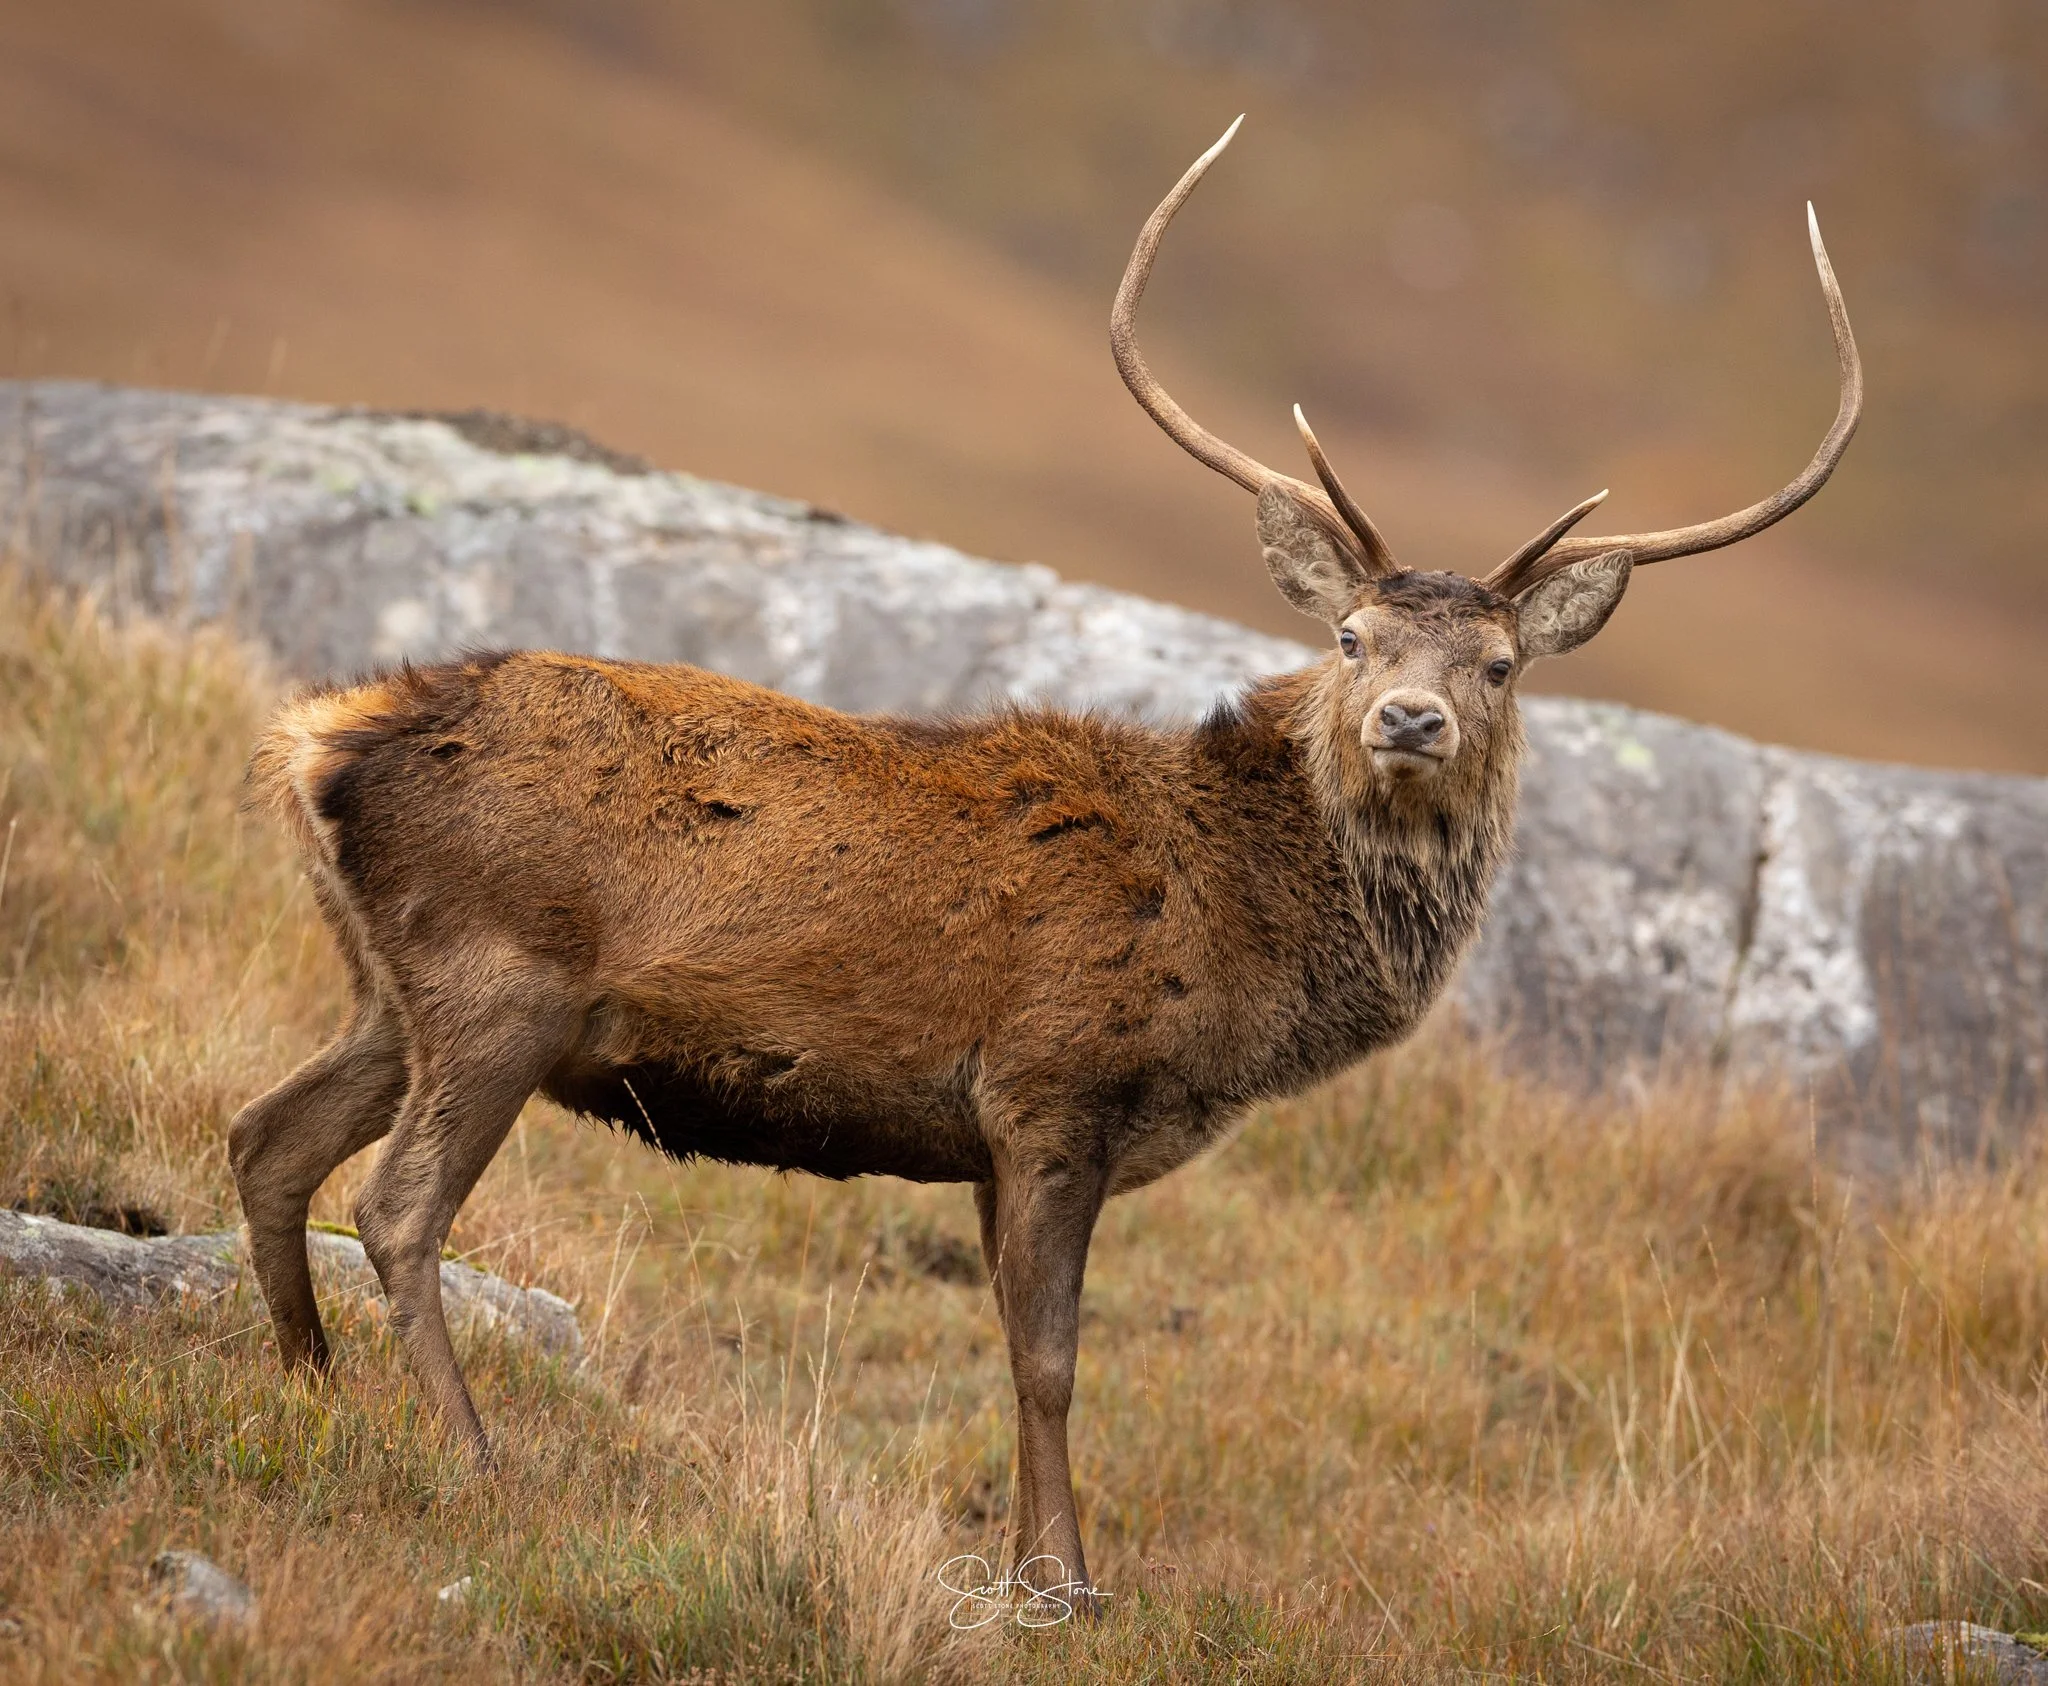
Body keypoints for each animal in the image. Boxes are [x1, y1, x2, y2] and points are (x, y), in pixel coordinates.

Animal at [228, 117, 1861, 1611]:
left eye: (1503, 665)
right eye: (1351, 638)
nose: (1412, 718)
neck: (1246, 949)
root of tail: (321, 739)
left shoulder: (985, 1136)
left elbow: (1013, 1349)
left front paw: (1027, 1562)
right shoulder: (1053, 1083)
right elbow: (1053, 1355)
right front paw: (1068, 1582)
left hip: (391, 987)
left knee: (267, 1136)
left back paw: (309, 1388)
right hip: (498, 977)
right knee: (397, 1204)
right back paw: (473, 1457)